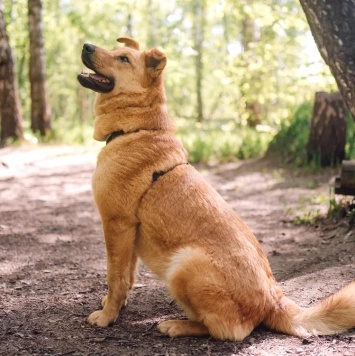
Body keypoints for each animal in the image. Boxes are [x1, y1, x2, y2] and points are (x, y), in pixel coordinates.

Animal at [78, 37, 355, 340]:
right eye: (114, 50)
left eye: (123, 59)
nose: (86, 46)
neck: (136, 129)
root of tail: (273, 301)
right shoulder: (128, 233)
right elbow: (126, 277)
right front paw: (116, 305)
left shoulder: (116, 224)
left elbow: (115, 278)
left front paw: (107, 316)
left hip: (184, 264)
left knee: (228, 330)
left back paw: (177, 325)